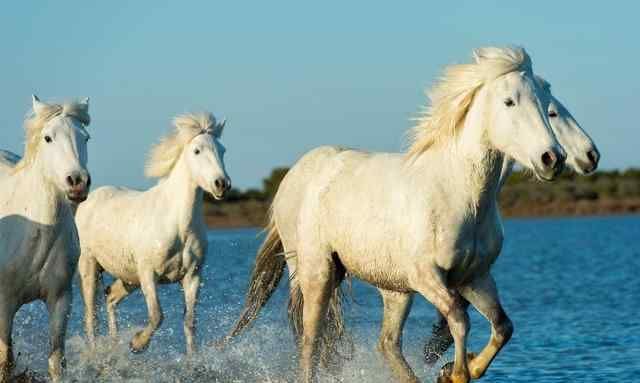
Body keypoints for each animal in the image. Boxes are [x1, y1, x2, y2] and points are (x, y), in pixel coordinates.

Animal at [0, 95, 90, 380]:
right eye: (48, 138)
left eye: (86, 137)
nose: (77, 181)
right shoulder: (4, 302)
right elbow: (4, 360)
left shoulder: (60, 299)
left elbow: (56, 360)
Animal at [75, 112, 230, 356]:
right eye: (197, 150)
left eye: (222, 150)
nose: (222, 184)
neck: (179, 225)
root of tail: (89, 199)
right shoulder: (149, 274)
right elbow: (157, 316)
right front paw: (137, 344)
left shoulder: (192, 276)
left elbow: (190, 322)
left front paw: (192, 358)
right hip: (89, 266)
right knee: (91, 316)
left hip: (128, 277)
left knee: (110, 297)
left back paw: (114, 344)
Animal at [226, 47, 564, 383]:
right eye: (509, 102)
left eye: (545, 104)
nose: (552, 159)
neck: (460, 194)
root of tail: (294, 175)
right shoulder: (426, 277)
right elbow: (459, 318)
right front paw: (454, 373)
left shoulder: (475, 276)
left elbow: (502, 326)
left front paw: (453, 369)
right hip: (317, 274)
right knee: (311, 343)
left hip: (393, 290)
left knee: (386, 343)